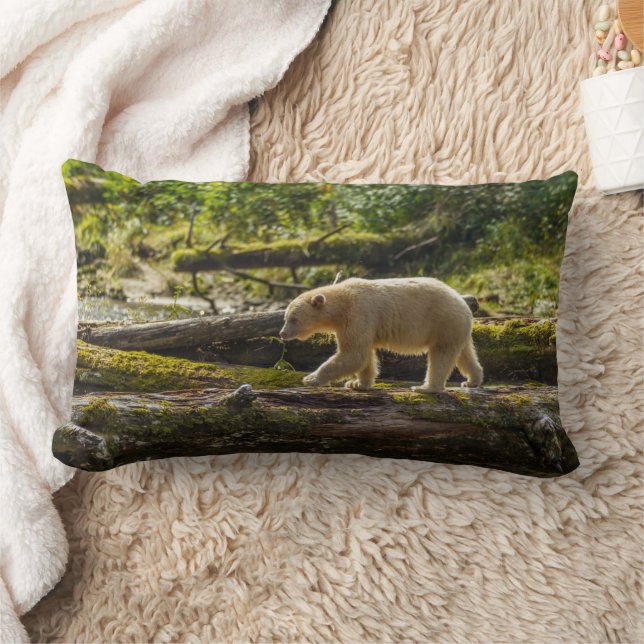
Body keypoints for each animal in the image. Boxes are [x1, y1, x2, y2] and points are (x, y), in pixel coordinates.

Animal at [279, 277, 484, 392]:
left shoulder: (359, 312)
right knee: (465, 354)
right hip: (456, 328)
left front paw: (310, 378)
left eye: (293, 319)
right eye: (285, 317)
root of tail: (464, 304)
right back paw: (472, 381)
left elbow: (353, 354)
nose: (282, 333)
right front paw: (357, 384)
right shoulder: (351, 323)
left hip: (443, 321)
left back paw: (426, 387)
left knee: (441, 356)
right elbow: (363, 355)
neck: (342, 301)